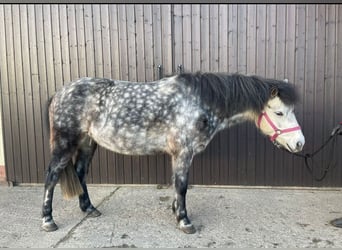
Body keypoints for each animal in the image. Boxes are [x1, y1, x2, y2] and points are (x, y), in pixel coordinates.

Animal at [40, 71, 304, 233]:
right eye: (279, 112)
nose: (300, 143)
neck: (197, 102)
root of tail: (59, 92)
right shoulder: (183, 152)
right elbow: (182, 186)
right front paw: (185, 221)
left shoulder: (178, 154)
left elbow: (177, 185)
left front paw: (176, 211)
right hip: (64, 145)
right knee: (51, 177)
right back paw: (48, 220)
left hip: (87, 143)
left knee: (80, 173)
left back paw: (90, 209)